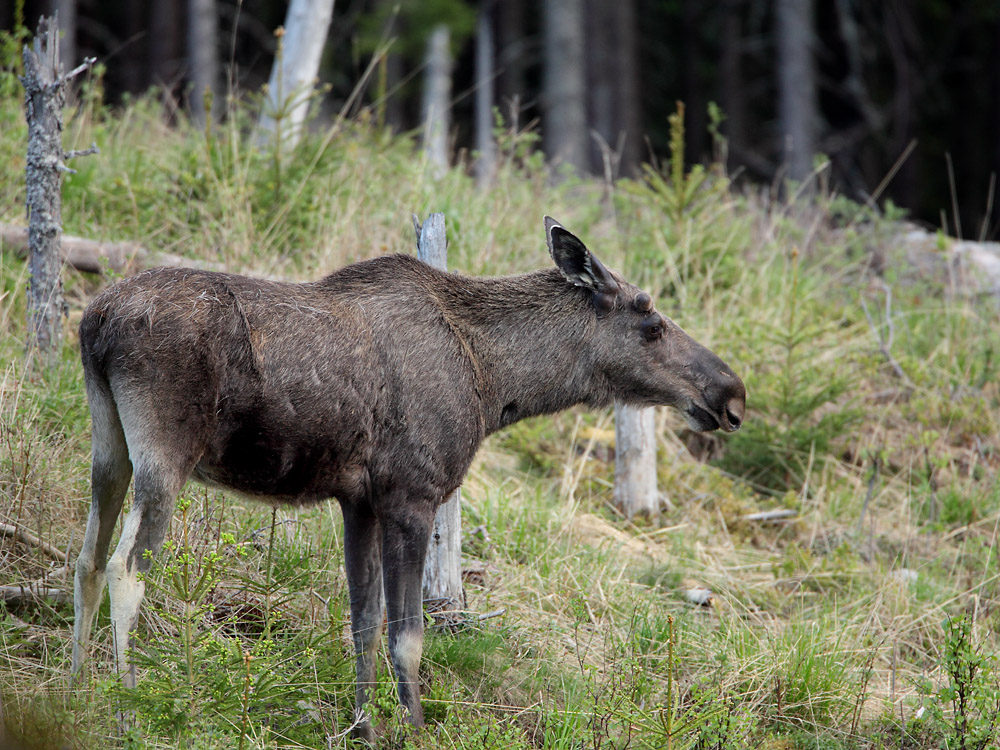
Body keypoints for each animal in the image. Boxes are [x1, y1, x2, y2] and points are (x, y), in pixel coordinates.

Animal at [72, 216, 744, 740]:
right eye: (651, 323)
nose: (731, 394)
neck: (495, 383)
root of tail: (95, 321)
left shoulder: (359, 500)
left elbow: (362, 623)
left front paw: (363, 727)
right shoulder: (412, 494)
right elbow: (408, 635)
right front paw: (414, 727)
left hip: (109, 446)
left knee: (86, 561)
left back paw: (74, 689)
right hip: (165, 453)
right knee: (126, 569)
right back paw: (125, 711)